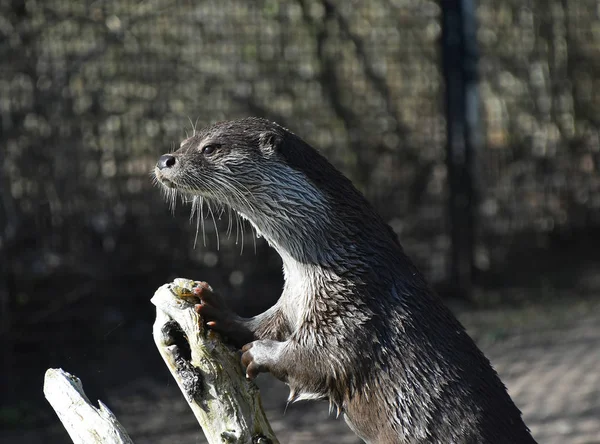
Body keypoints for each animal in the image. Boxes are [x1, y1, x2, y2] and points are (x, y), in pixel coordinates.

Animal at [152, 118, 536, 444]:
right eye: (184, 142)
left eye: (210, 148)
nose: (165, 159)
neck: (339, 259)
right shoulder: (292, 300)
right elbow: (264, 323)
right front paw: (215, 309)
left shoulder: (355, 306)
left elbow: (319, 360)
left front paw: (257, 354)